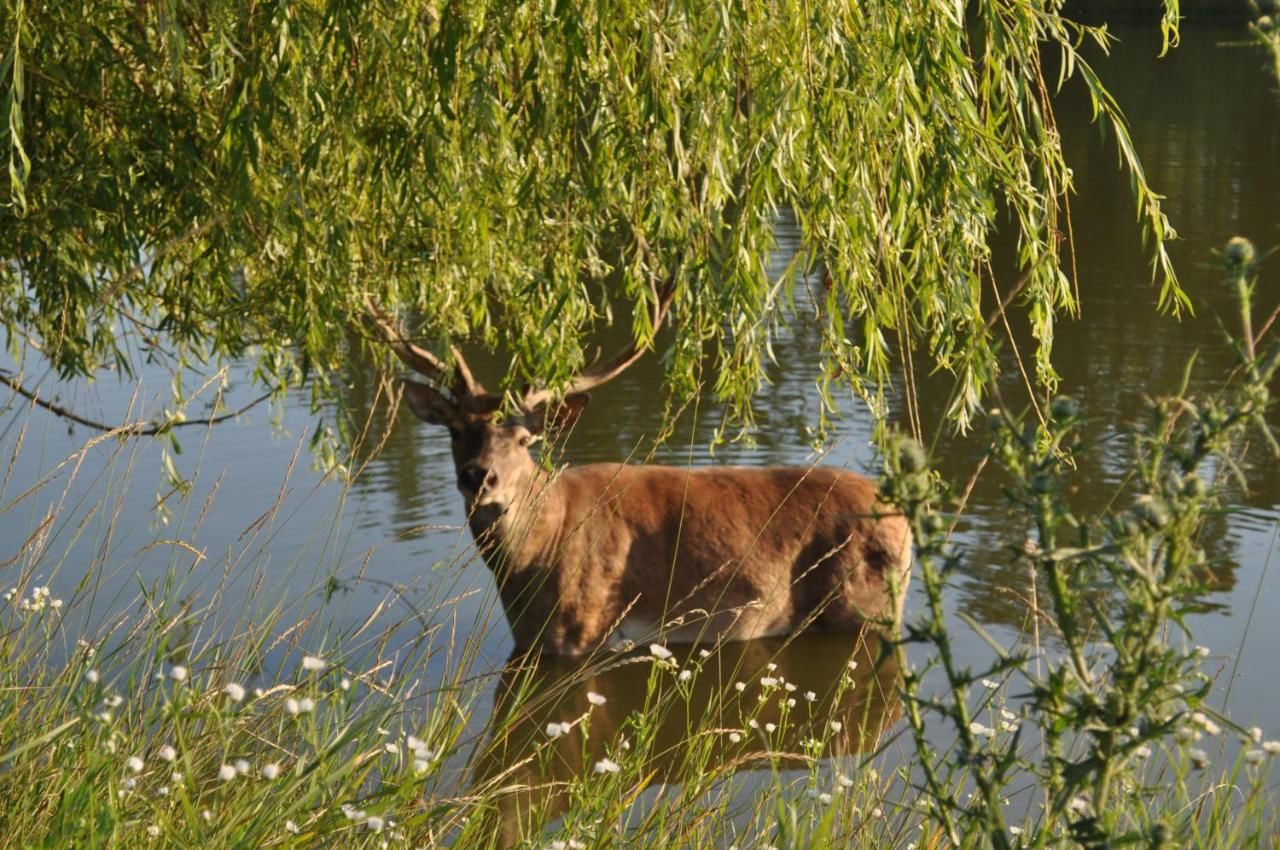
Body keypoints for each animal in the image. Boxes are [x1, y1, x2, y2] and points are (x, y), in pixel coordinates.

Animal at [366, 285, 916, 655]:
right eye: (457, 430)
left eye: (524, 440)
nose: (480, 477)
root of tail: (904, 518)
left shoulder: (584, 629)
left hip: (865, 607)